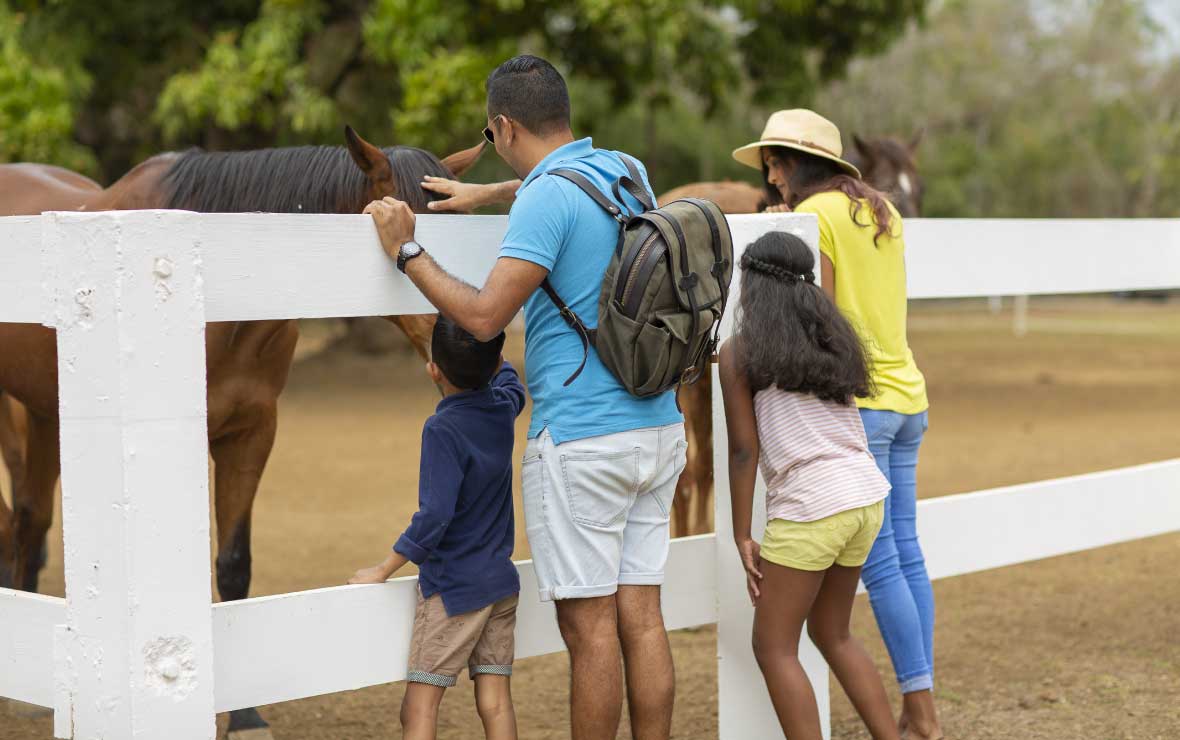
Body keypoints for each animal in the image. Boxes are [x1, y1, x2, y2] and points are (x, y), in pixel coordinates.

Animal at [0, 125, 483, 736]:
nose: (471, 336)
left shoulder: (251, 433)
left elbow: (234, 566)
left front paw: (246, 717)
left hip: (46, 412)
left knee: (31, 518)